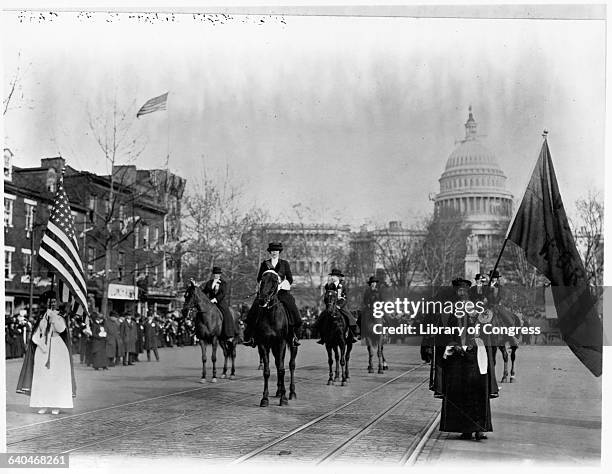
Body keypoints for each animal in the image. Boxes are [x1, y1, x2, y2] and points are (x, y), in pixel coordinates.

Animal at [252, 270, 298, 408]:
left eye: (274, 281)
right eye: (262, 280)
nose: (262, 299)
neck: (271, 315)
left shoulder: (281, 342)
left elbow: (282, 370)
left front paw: (283, 399)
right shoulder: (263, 344)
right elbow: (267, 371)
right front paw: (265, 399)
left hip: (292, 345)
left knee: (291, 365)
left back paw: (291, 392)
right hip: (273, 348)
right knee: (278, 364)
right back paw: (279, 391)